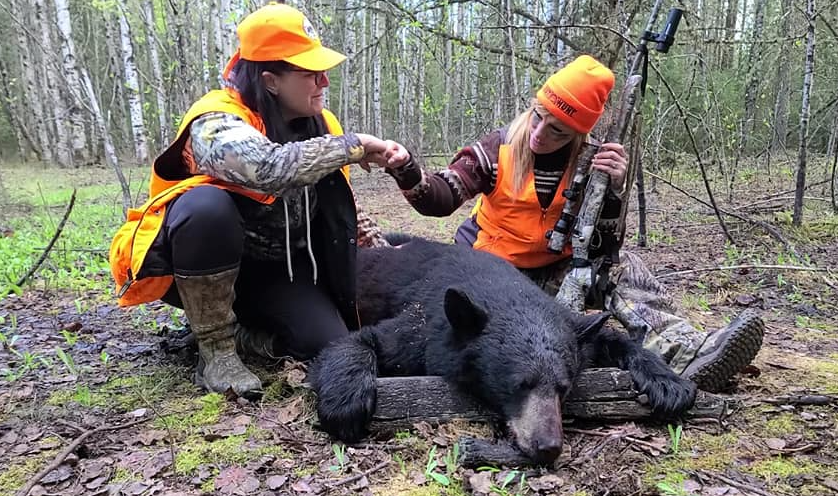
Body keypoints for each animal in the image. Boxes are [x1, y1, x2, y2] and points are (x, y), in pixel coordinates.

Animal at [309, 237, 696, 465]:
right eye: (518, 384)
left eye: (563, 388)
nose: (548, 446)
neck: (498, 288)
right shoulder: (425, 328)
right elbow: (359, 341)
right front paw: (345, 405)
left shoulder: (569, 326)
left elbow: (611, 338)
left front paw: (669, 383)